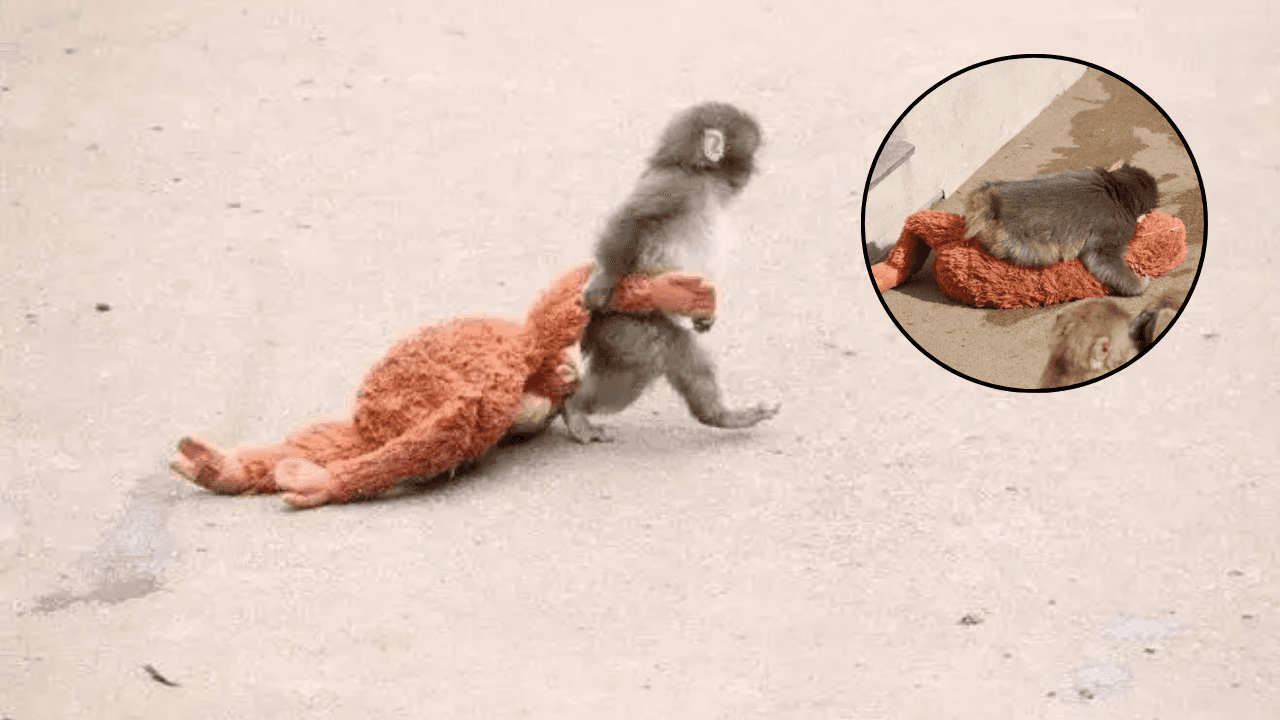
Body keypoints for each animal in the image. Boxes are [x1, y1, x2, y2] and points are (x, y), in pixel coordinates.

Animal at [561, 101, 780, 443]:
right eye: (752, 154)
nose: (753, 170)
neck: (700, 176)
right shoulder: (675, 186)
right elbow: (631, 220)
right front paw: (601, 283)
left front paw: (705, 316)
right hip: (626, 326)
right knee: (648, 360)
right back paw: (574, 409)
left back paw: (723, 416)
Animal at [964, 163, 1160, 297]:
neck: (1116, 190)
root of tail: (992, 202)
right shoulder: (1115, 227)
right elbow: (1102, 259)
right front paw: (1139, 284)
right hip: (1014, 241)